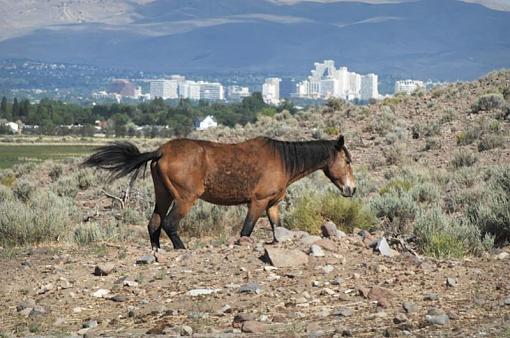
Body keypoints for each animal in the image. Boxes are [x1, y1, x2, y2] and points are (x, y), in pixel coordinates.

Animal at [82, 135, 354, 251]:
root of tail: (160, 151)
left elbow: (278, 229)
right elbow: (246, 231)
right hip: (184, 199)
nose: (351, 189)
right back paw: (181, 248)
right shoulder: (257, 203)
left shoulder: (272, 206)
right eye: (348, 160)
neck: (283, 160)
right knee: (169, 223)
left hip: (163, 196)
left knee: (154, 224)